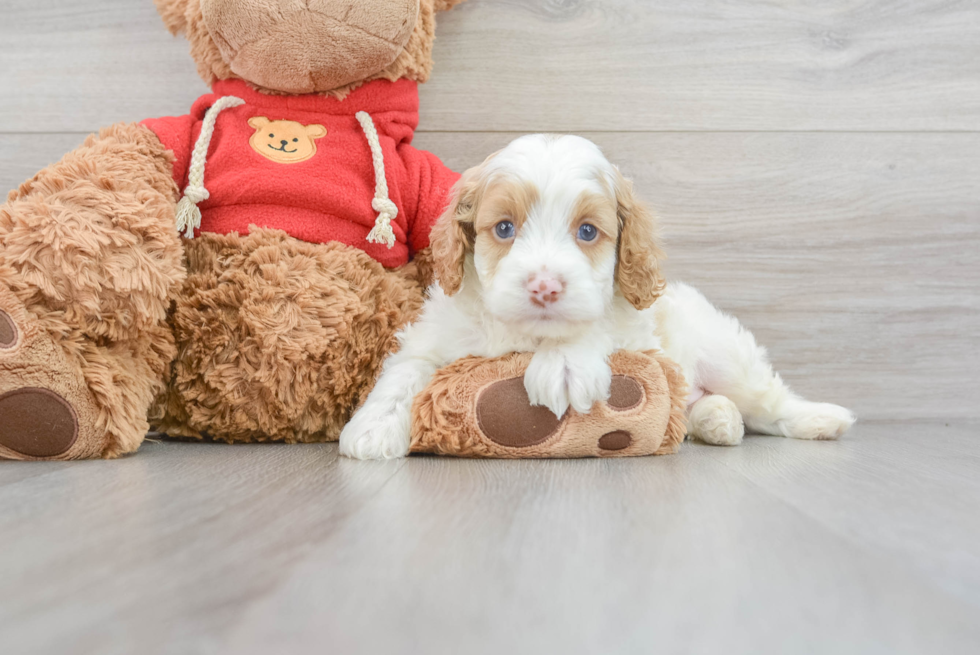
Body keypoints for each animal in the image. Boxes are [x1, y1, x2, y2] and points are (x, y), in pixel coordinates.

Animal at [340, 134, 852, 462]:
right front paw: (372, 427)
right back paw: (717, 420)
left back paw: (820, 418)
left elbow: (599, 327)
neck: (527, 336)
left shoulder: (637, 325)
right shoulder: (437, 333)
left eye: (587, 232)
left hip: (721, 350)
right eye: (504, 228)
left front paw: (565, 363)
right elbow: (407, 369)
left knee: (768, 401)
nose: (544, 286)